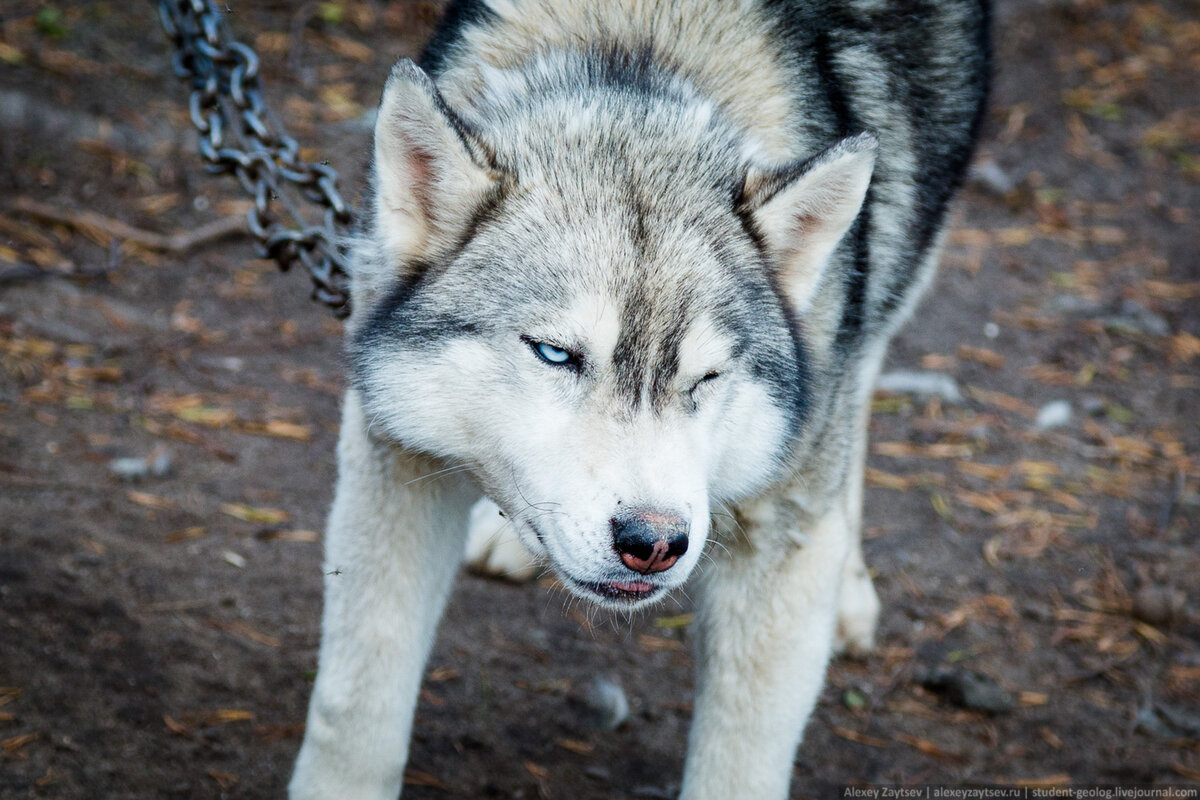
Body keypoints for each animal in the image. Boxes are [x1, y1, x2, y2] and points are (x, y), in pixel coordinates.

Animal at [290, 1, 984, 800]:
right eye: (555, 354)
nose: (655, 543)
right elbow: (355, 710)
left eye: (706, 379)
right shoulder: (396, 457)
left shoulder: (775, 537)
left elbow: (738, 766)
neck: (639, 52)